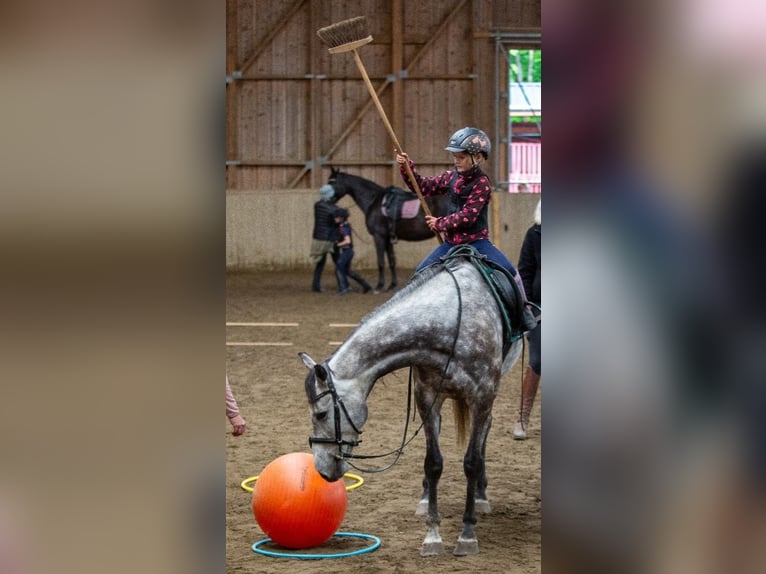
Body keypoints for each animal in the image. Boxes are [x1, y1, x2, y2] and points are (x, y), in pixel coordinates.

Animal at [304, 253, 524, 560]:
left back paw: (480, 496)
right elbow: (433, 463)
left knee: (484, 436)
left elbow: (471, 462)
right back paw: (426, 498)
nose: (322, 471)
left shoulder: (482, 397)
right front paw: (432, 535)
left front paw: (467, 535)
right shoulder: (427, 397)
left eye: (322, 413)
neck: (451, 323)